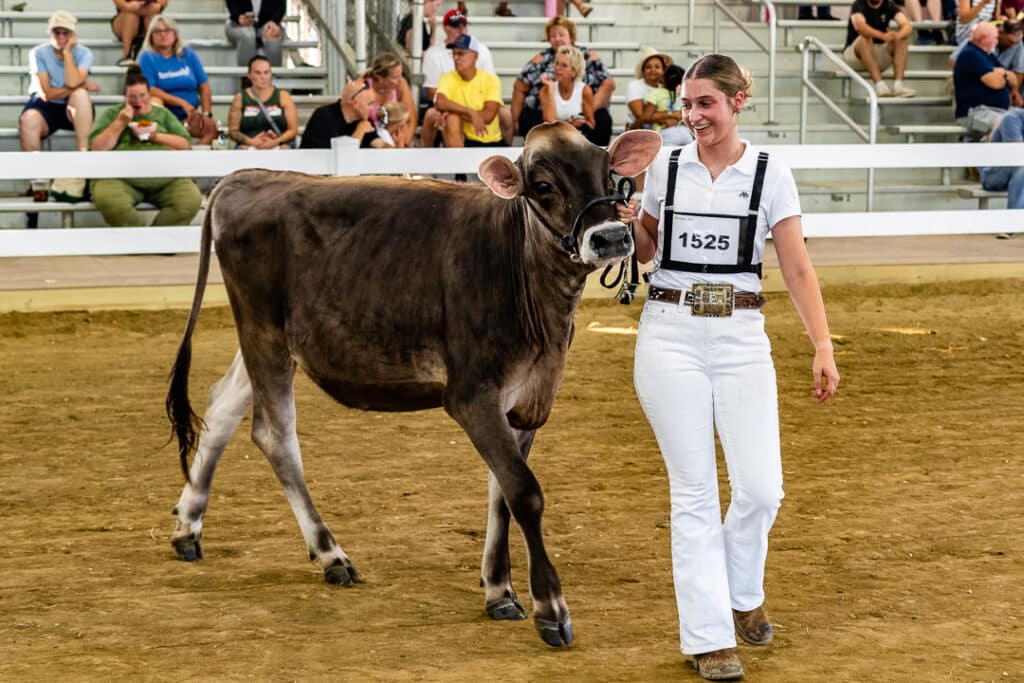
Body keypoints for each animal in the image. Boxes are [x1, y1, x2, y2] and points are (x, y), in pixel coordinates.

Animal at [166, 122, 662, 648]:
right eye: (543, 185)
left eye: (610, 174)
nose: (611, 237)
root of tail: (248, 176)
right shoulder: (471, 395)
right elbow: (524, 492)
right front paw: (551, 609)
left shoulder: (527, 399)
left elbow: (501, 492)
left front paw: (498, 590)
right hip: (262, 330)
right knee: (274, 434)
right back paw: (330, 554)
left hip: (269, 339)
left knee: (221, 409)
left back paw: (188, 527)